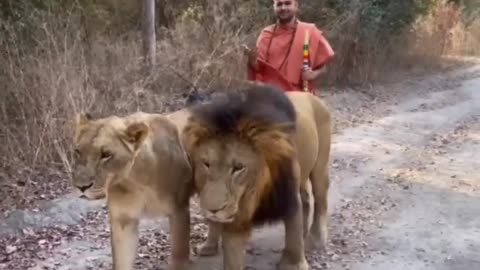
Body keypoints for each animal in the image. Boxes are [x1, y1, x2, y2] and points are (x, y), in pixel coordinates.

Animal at [71, 109, 193, 270]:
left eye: (106, 155)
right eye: (77, 151)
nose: (81, 187)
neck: (135, 181)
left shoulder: (180, 211)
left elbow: (179, 256)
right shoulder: (124, 221)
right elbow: (122, 261)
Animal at [180, 86, 330, 270]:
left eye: (238, 167)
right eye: (206, 164)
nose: (214, 209)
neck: (255, 193)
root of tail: (309, 94)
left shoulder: (288, 195)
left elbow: (293, 233)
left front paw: (294, 264)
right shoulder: (235, 215)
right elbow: (232, 256)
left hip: (319, 168)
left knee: (320, 199)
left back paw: (316, 238)